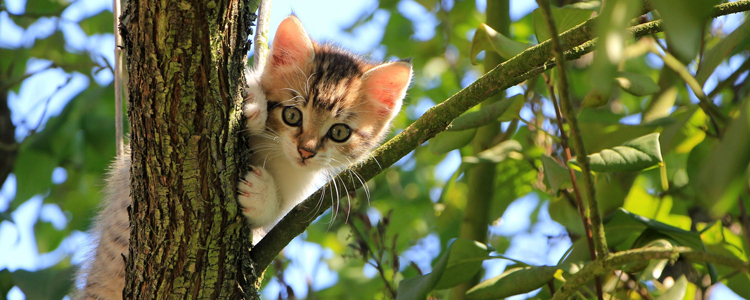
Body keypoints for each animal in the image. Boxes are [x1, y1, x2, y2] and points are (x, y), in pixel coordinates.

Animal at [75, 14, 414, 300]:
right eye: (292, 114)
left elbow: (273, 217)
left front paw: (260, 194)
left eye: (339, 132)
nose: (306, 151)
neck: (276, 154)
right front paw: (253, 103)